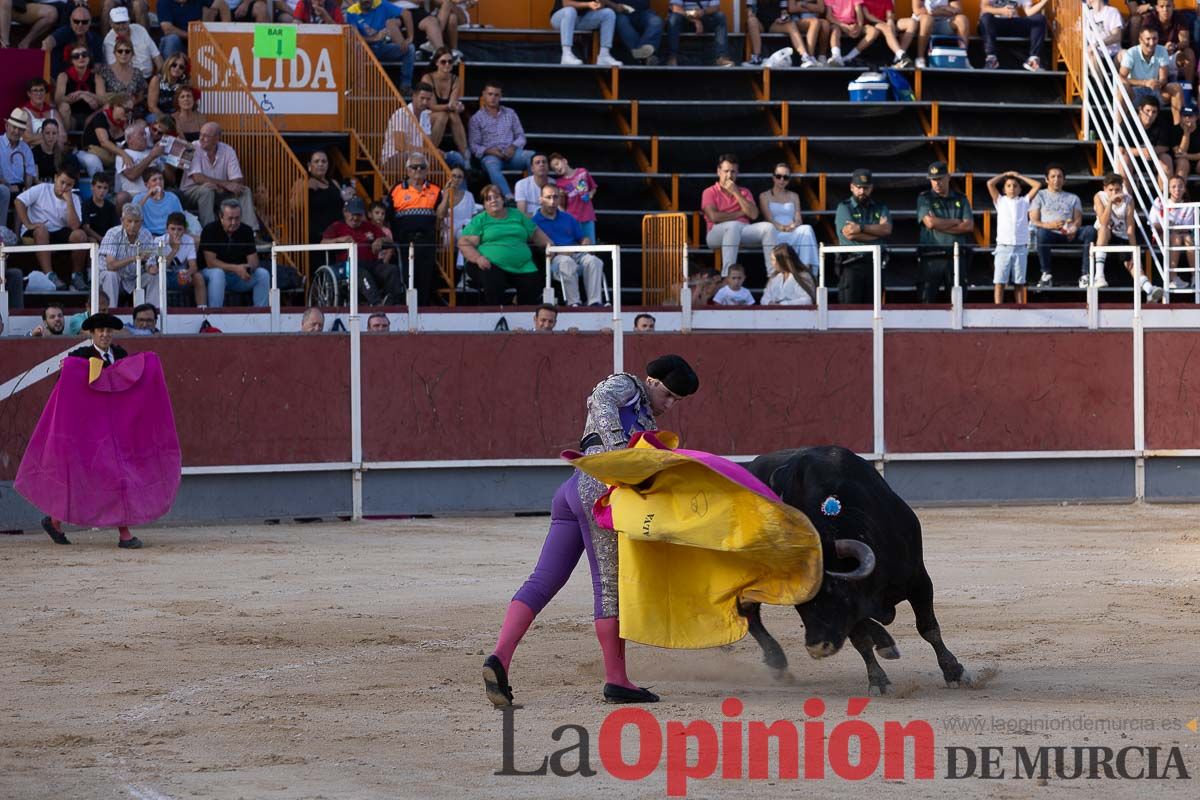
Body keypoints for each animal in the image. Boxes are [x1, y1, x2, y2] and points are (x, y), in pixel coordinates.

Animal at [734, 443, 969, 695]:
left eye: (837, 591)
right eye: (800, 604)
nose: (818, 648)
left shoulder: (918, 581)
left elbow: (928, 628)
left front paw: (954, 672)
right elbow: (860, 639)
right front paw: (877, 680)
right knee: (749, 611)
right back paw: (777, 661)